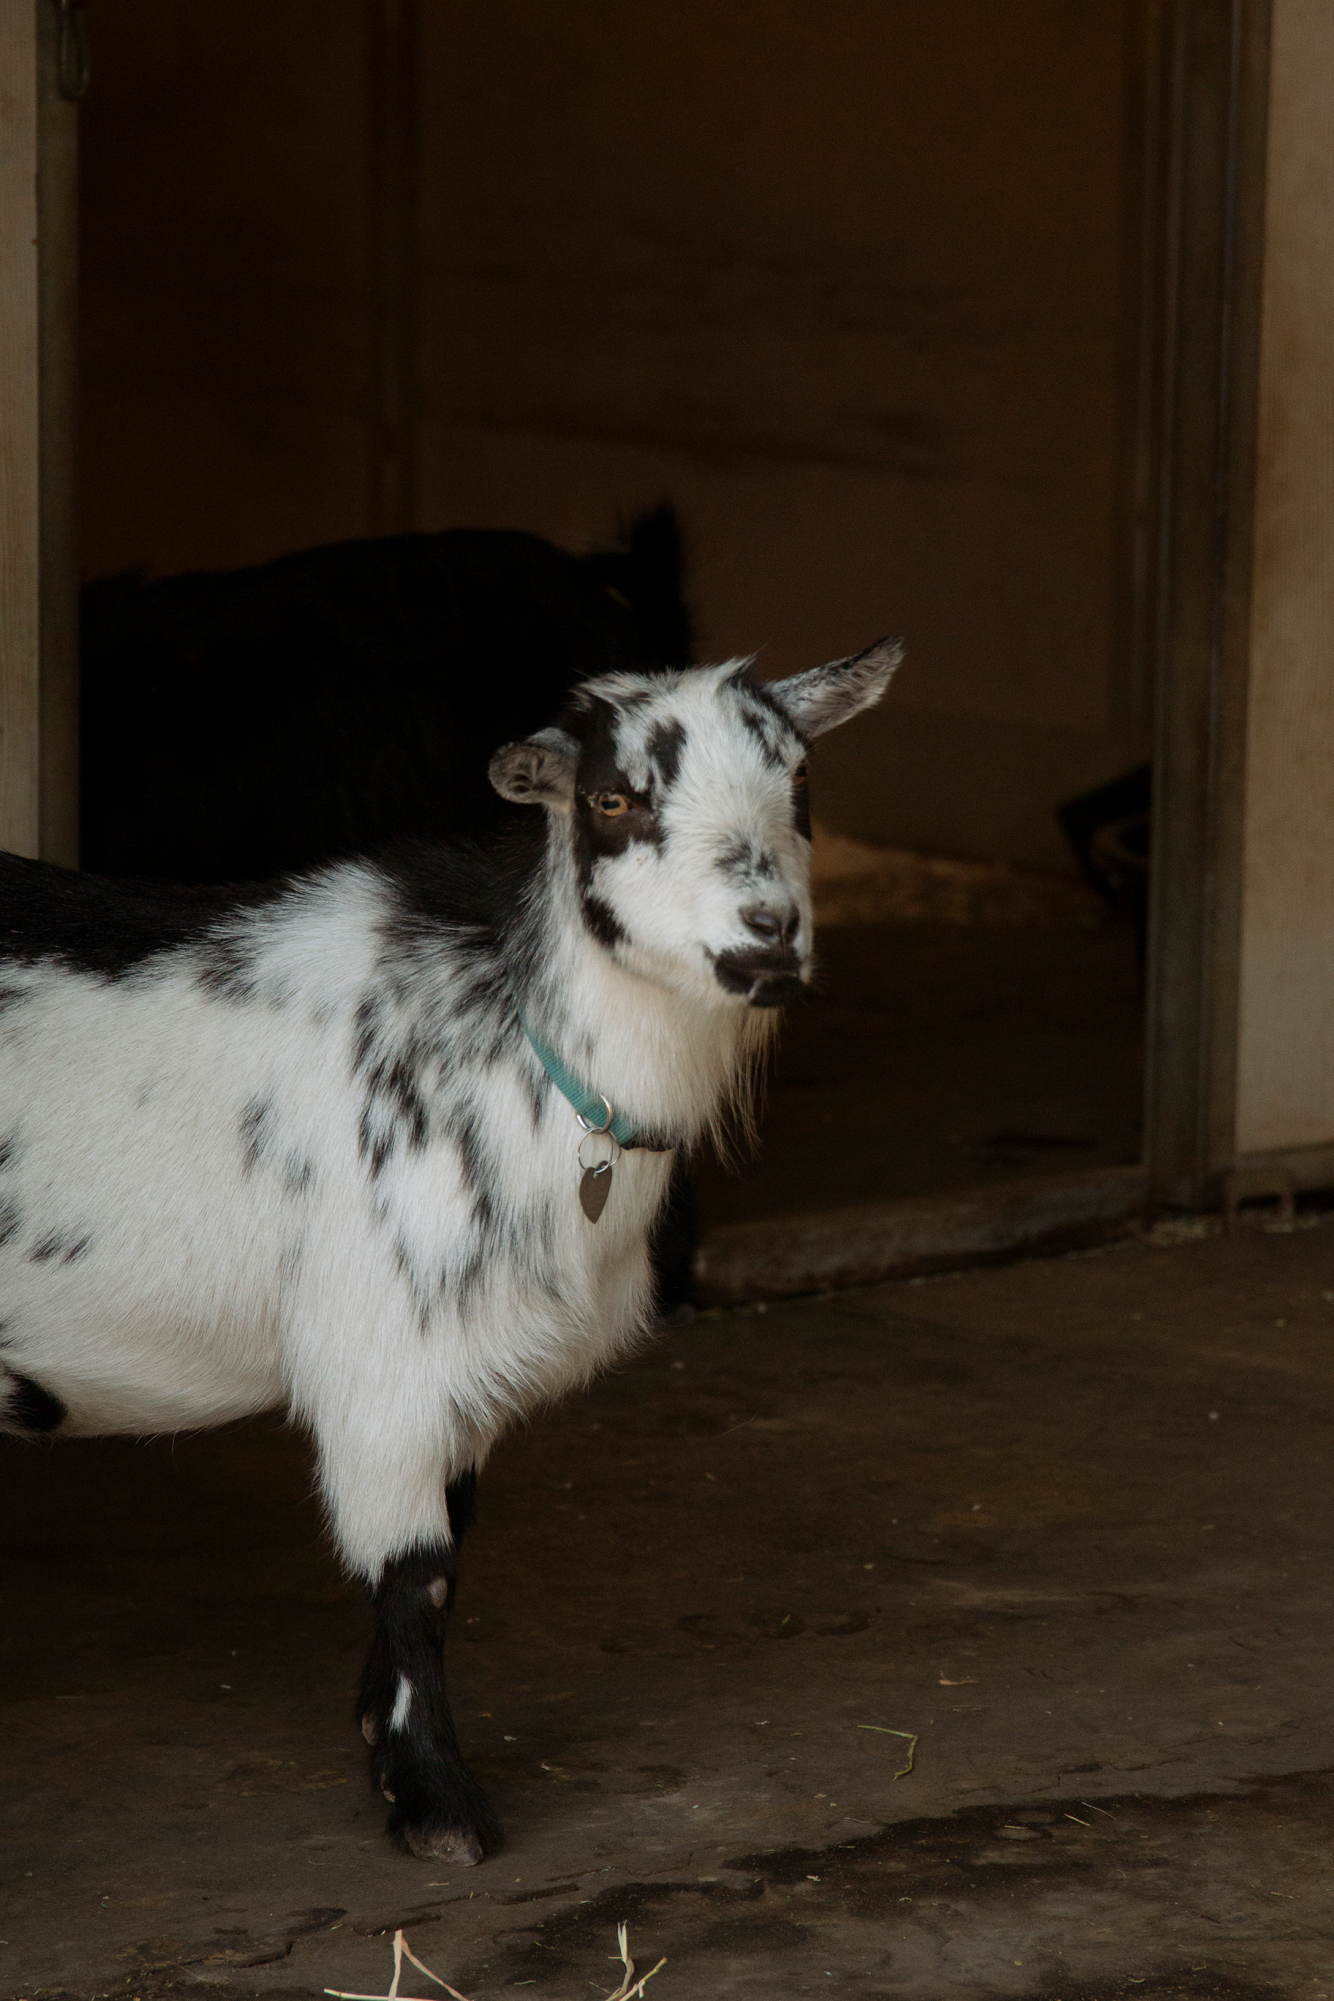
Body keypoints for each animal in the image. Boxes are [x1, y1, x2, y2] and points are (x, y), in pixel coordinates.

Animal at [0, 640, 904, 1856]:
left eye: (799, 782)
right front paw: (438, 1804)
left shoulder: (456, 1374)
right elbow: (418, 1575)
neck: (513, 1045)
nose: (768, 931)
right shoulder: (380, 1354)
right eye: (612, 800)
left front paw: (381, 1746)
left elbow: (449, 1559)